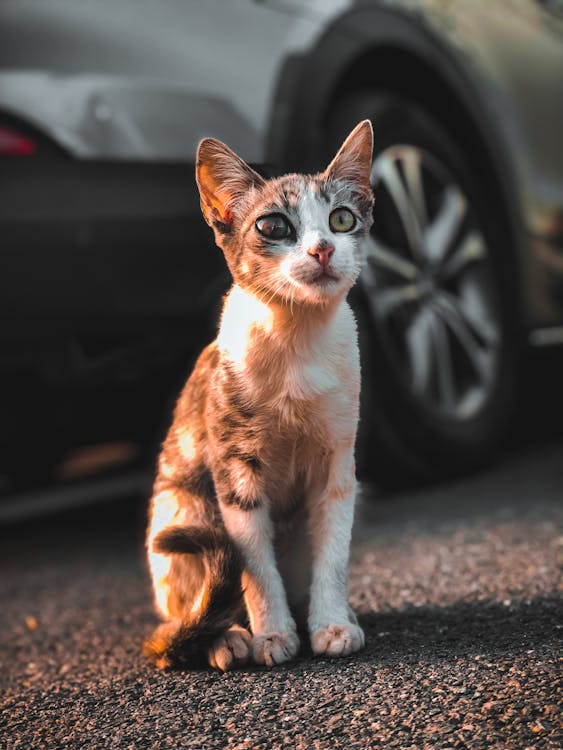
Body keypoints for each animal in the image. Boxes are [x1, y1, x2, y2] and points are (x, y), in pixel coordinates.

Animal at [145, 120, 374, 672]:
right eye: (272, 227)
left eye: (342, 218)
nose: (322, 249)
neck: (296, 341)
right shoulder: (234, 469)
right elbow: (254, 566)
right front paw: (272, 635)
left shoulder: (339, 463)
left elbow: (333, 555)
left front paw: (331, 624)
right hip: (182, 512)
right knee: (187, 608)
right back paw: (223, 636)